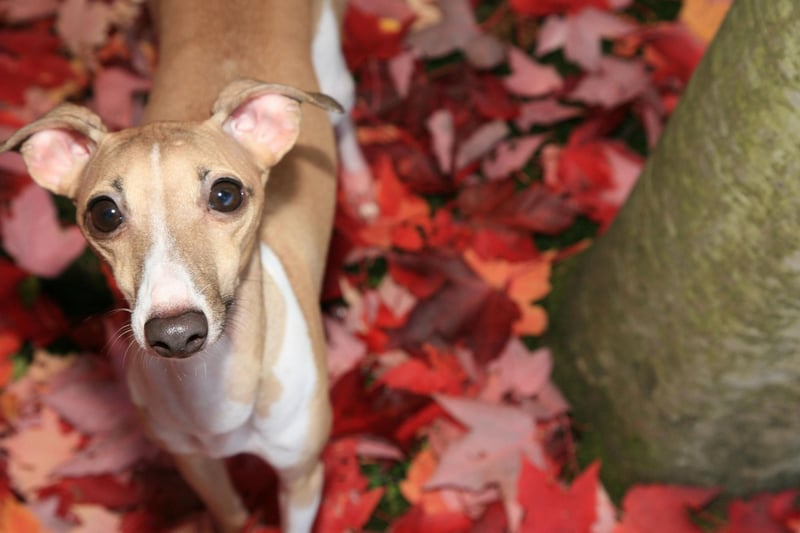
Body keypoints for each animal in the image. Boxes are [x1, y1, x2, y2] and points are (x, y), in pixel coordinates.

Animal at [0, 0, 356, 528]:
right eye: (103, 213)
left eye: (226, 194)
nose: (175, 333)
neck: (212, 396)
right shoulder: (195, 465)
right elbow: (231, 515)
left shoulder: (303, 475)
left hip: (334, 71)